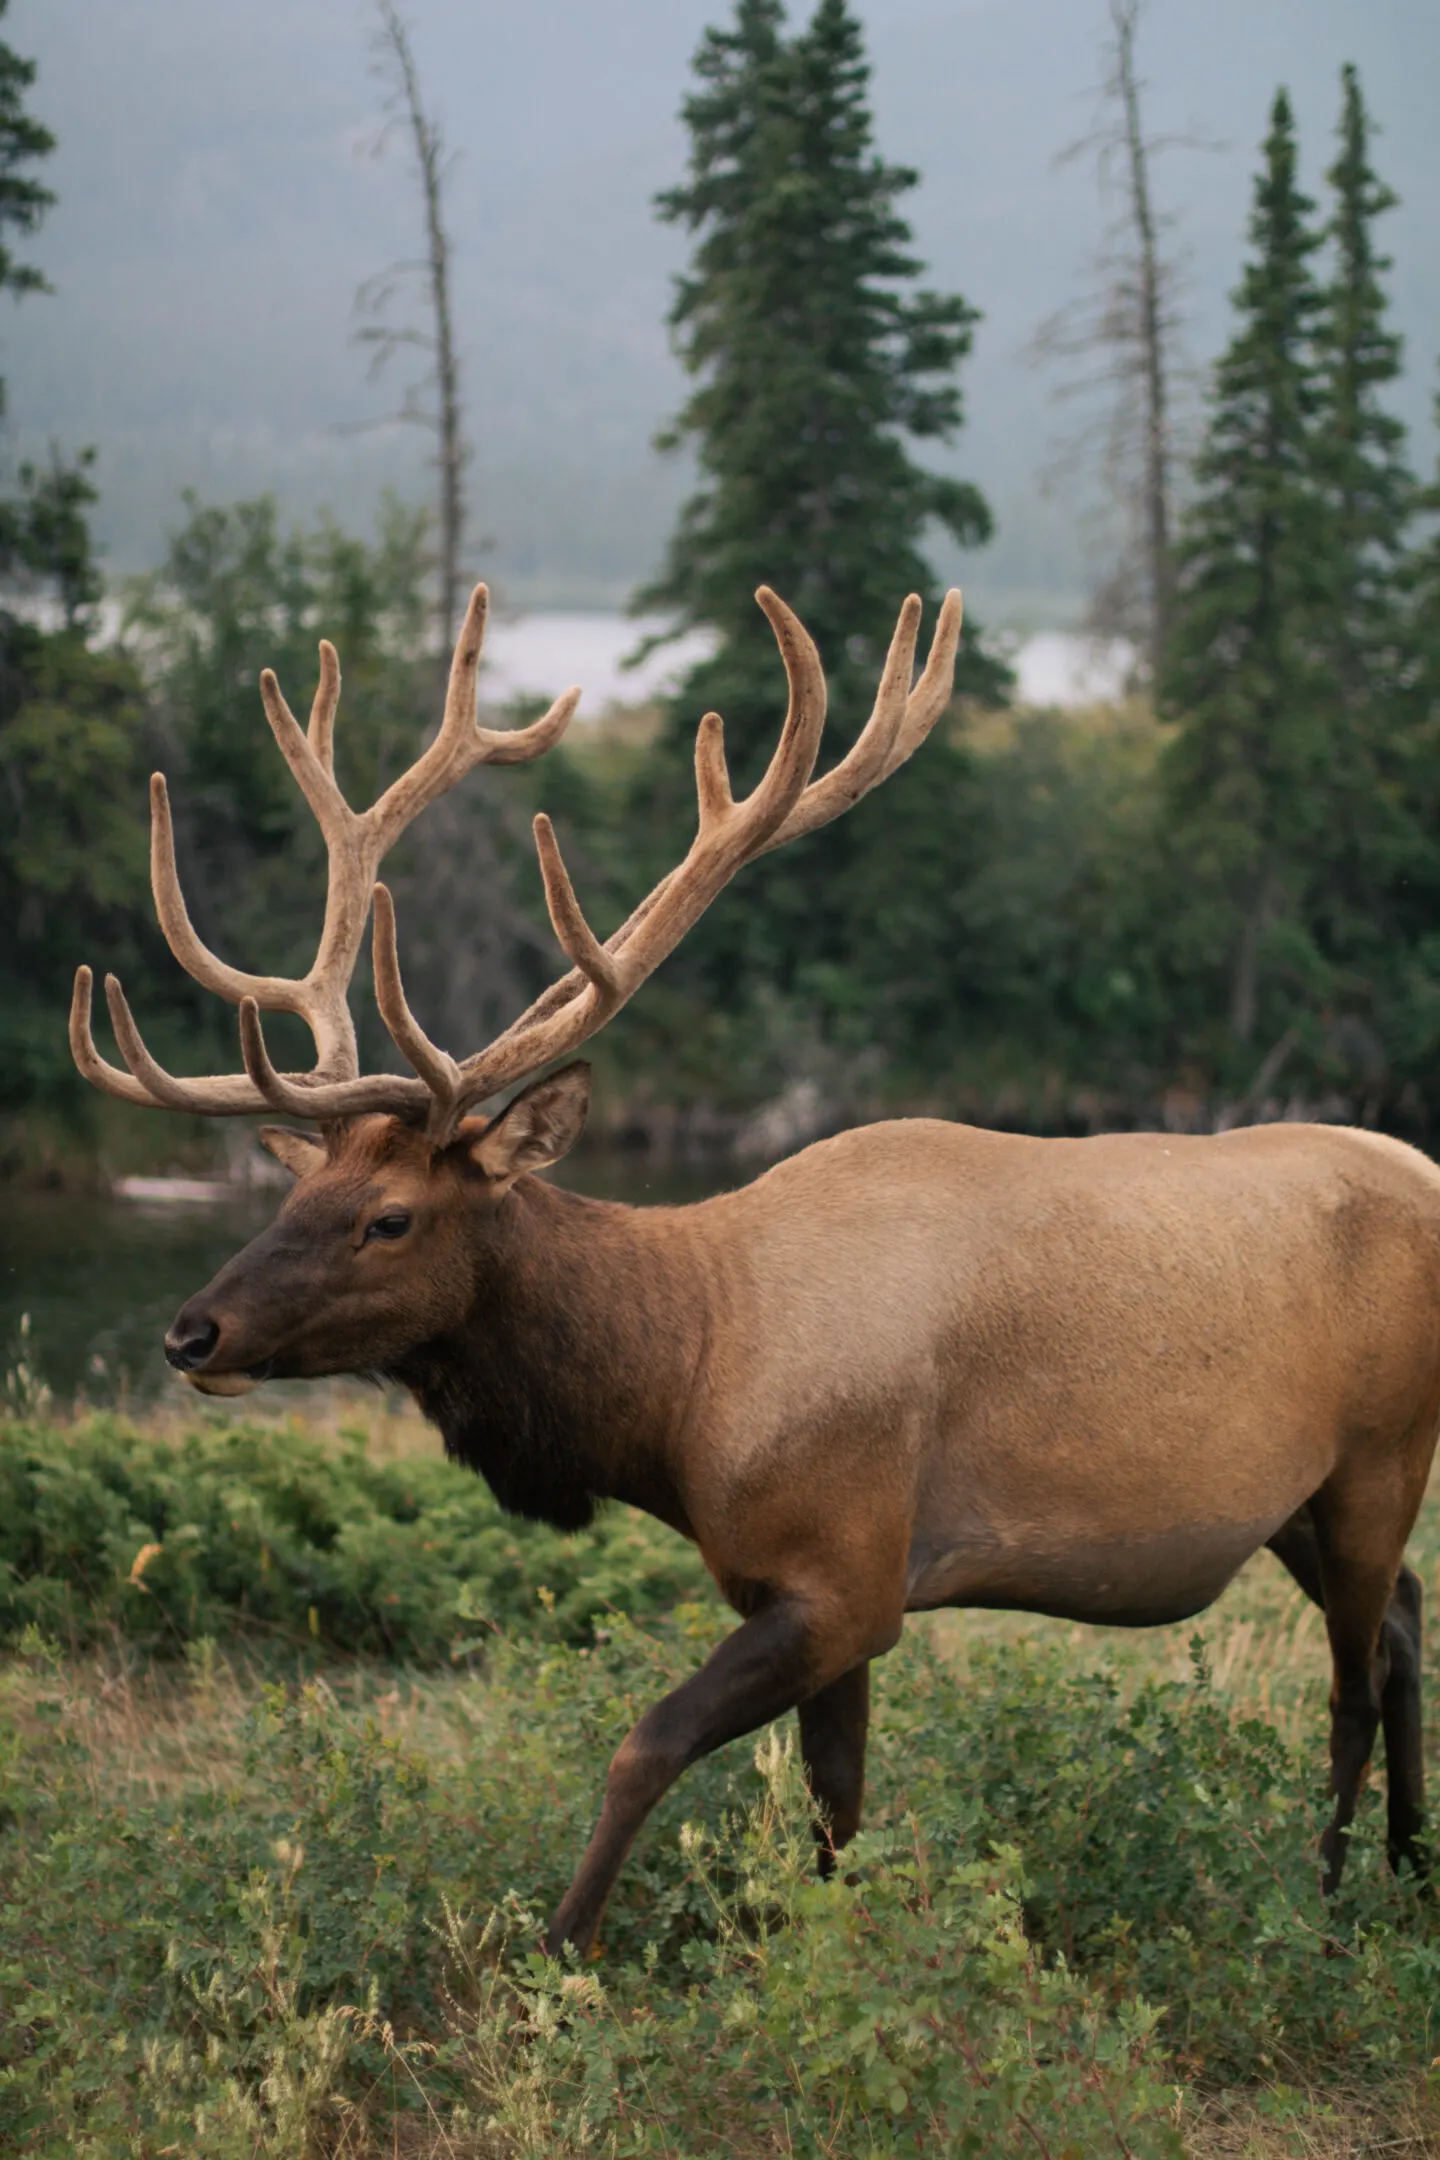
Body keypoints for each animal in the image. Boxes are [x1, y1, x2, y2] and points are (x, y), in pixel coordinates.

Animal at [73, 587, 1433, 1961]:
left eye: (390, 1218)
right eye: (297, 1192)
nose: (193, 1333)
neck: (679, 1394)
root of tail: (1421, 1162)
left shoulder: (845, 1576)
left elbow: (649, 1743)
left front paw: (560, 1948)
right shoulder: (816, 1585)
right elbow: (837, 1801)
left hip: (1381, 1454)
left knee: (1355, 1671)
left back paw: (1326, 1899)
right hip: (1296, 1499)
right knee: (1408, 1622)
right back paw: (1410, 1871)